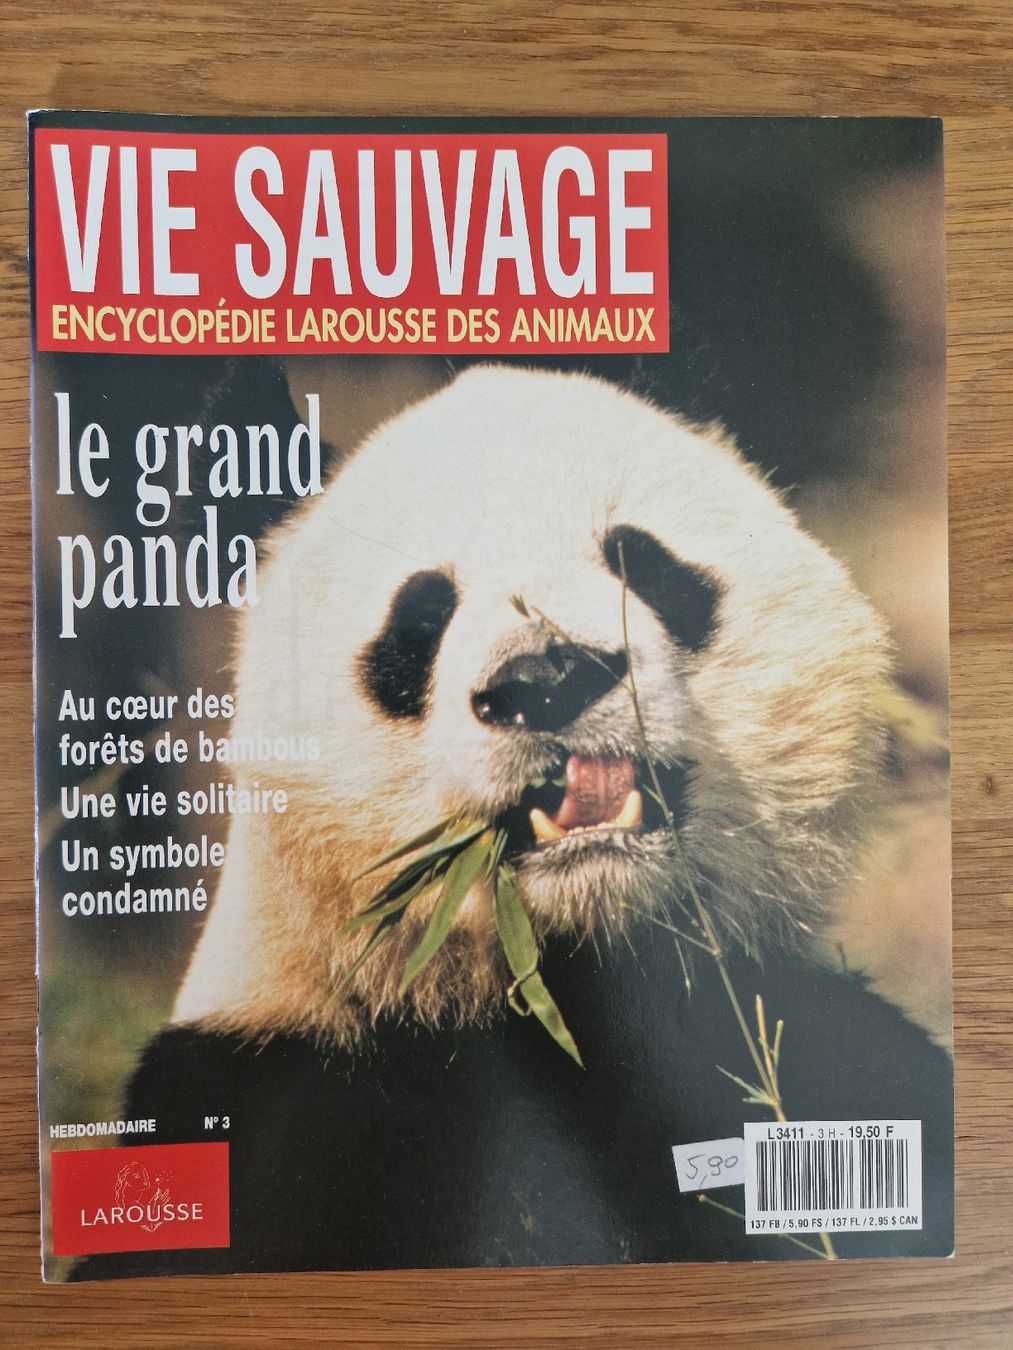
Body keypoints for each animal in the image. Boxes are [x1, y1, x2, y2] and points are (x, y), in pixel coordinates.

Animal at [75, 365, 953, 1276]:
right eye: (419, 621)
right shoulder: (283, 1102)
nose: (548, 677)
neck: (562, 995)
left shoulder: (797, 1040)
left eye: (639, 560)